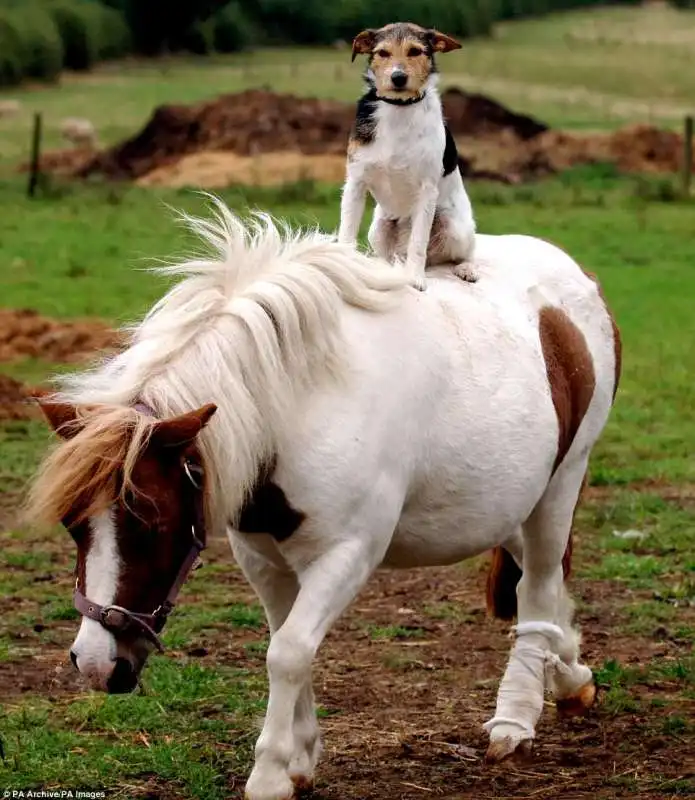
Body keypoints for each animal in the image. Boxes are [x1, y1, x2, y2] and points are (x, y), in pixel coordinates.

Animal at [25, 203, 620, 800]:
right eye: (74, 527)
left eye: (152, 523)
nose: (96, 665)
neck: (298, 407)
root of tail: (576, 276)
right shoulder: (262, 558)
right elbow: (287, 642)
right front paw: (299, 758)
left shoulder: (347, 554)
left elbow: (287, 653)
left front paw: (269, 772)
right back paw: (570, 676)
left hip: (560, 485)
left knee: (538, 584)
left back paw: (516, 719)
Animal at [338, 20, 478, 292]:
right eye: (383, 53)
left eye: (415, 51)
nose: (398, 77)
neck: (398, 107)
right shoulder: (356, 182)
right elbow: (346, 231)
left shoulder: (427, 190)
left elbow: (419, 243)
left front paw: (415, 278)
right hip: (379, 228)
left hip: (453, 225)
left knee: (459, 254)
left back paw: (466, 268)